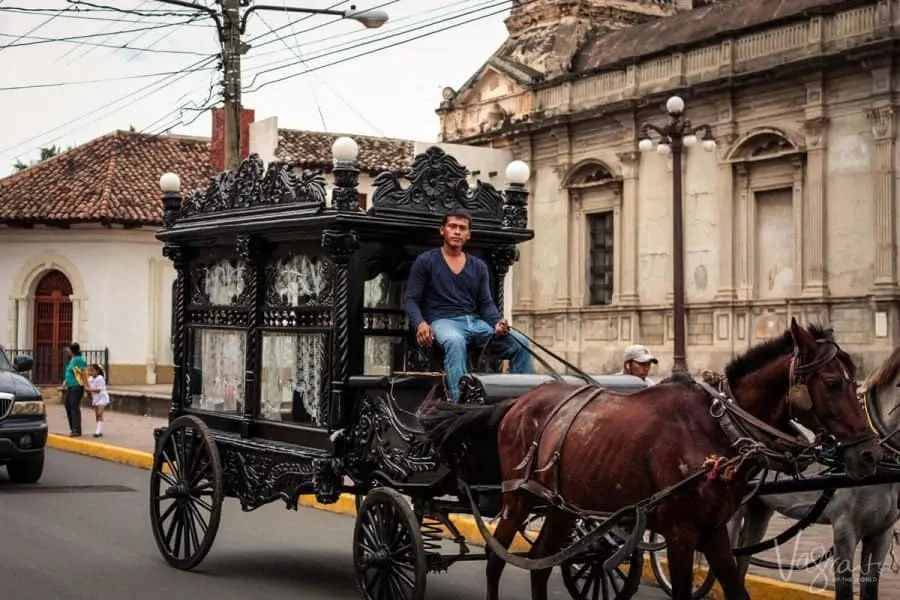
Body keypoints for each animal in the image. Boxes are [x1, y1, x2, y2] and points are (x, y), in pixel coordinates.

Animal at [418, 322, 884, 596]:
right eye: (832, 382)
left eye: (854, 381)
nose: (869, 453)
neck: (716, 429)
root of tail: (515, 401)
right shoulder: (679, 532)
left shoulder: (713, 530)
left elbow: (736, 590)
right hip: (518, 497)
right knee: (498, 558)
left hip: (562, 507)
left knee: (540, 563)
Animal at [728, 350, 900, 600]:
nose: (870, 456)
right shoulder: (844, 530)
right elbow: (844, 590)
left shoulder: (882, 534)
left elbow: (870, 588)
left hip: (759, 509)